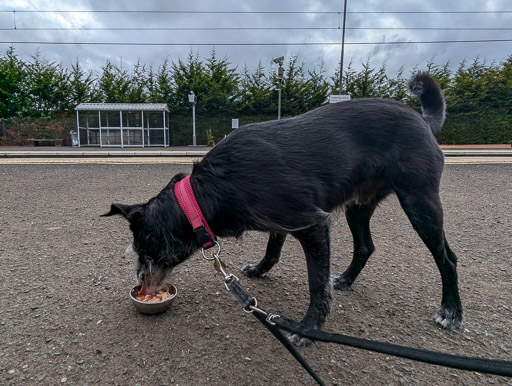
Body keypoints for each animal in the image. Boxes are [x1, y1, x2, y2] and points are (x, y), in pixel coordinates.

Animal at [103, 73, 464, 346]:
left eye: (145, 253)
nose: (142, 287)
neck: (204, 192)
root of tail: (422, 119)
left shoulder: (312, 225)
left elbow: (317, 285)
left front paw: (308, 328)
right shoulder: (281, 221)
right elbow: (273, 248)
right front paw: (261, 269)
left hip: (419, 203)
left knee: (447, 258)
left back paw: (451, 310)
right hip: (358, 206)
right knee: (365, 246)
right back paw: (346, 279)